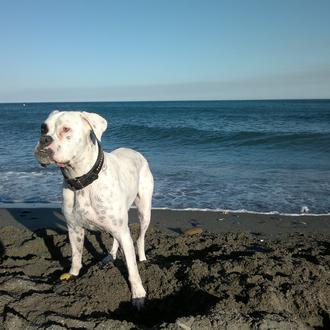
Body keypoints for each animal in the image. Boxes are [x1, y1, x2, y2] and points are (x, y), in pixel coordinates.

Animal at [35, 111, 154, 310]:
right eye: (43, 128)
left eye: (66, 129)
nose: (44, 139)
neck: (81, 180)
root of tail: (134, 151)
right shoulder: (74, 229)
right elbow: (76, 255)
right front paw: (73, 275)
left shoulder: (123, 231)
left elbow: (131, 268)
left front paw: (138, 295)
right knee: (115, 240)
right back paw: (110, 256)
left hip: (144, 211)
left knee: (140, 238)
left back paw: (143, 257)